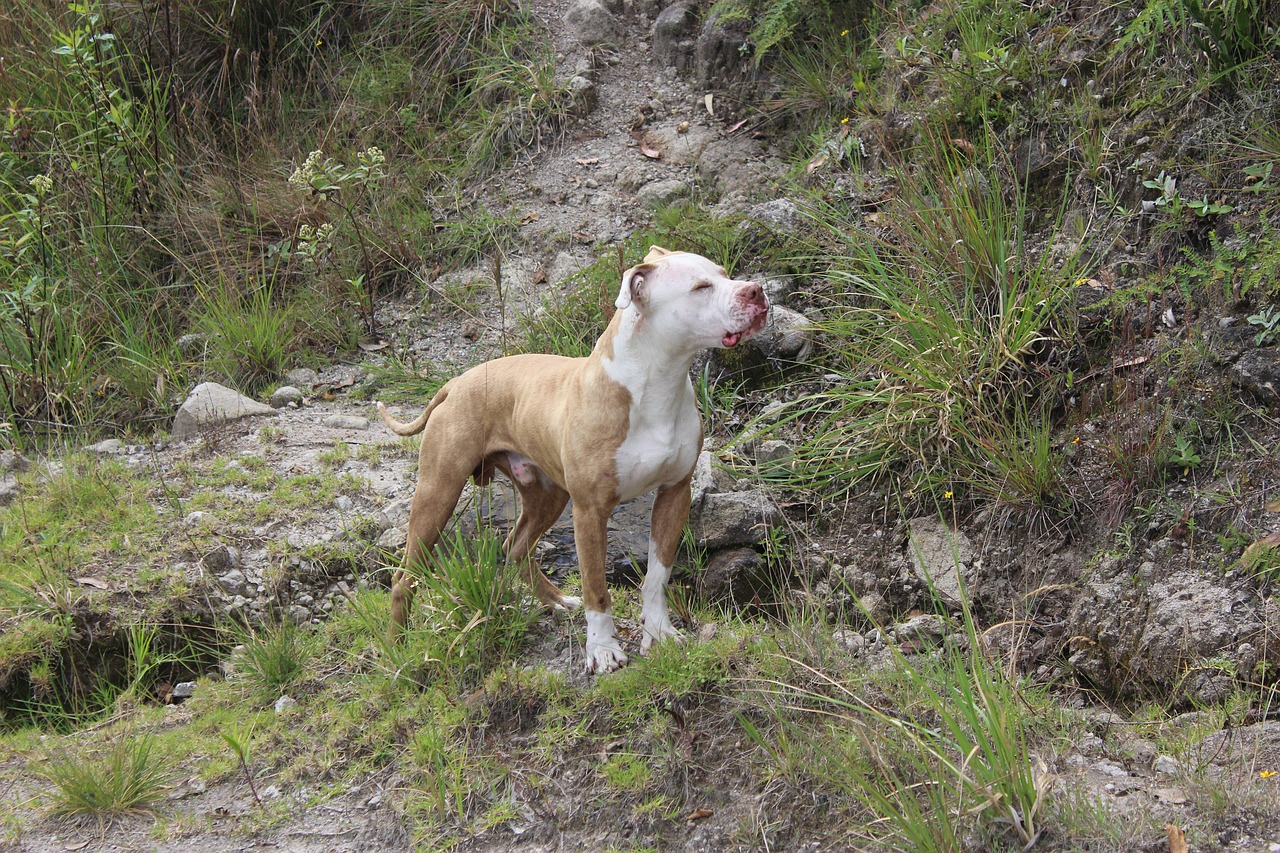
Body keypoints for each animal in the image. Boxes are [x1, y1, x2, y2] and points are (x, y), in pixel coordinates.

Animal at [373, 245, 762, 671]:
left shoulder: (675, 493)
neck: (656, 383)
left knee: (515, 547)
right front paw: (603, 649)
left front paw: (659, 632)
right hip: (438, 491)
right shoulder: (590, 511)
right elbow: (596, 585)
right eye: (700, 287)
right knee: (404, 578)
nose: (757, 291)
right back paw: (396, 651)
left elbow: (658, 575)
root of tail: (455, 382)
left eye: (725, 274)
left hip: (547, 494)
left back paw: (556, 601)